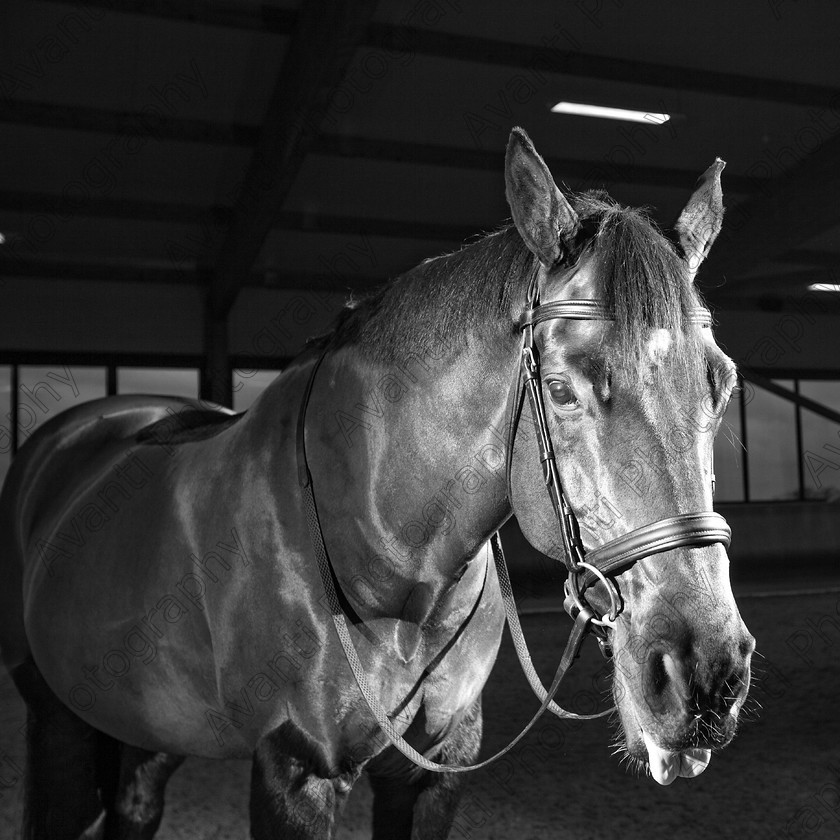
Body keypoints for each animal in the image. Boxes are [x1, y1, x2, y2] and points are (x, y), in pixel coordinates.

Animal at [0, 126, 756, 840]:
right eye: (563, 390)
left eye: (720, 386)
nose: (705, 676)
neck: (393, 558)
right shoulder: (295, 773)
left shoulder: (434, 773)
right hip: (60, 719)